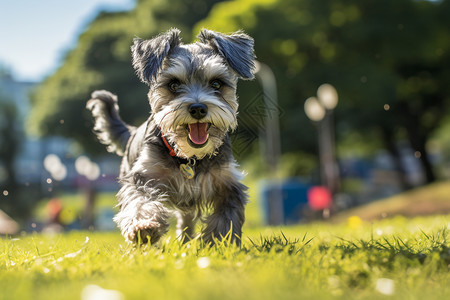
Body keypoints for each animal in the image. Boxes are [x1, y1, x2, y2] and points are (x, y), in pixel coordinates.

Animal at [86, 28, 255, 245]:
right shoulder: (142, 178)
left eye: (216, 83)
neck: (189, 157)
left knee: (186, 219)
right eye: (173, 85)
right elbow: (140, 202)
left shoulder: (228, 183)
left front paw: (221, 242)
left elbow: (227, 217)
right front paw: (144, 227)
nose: (198, 108)